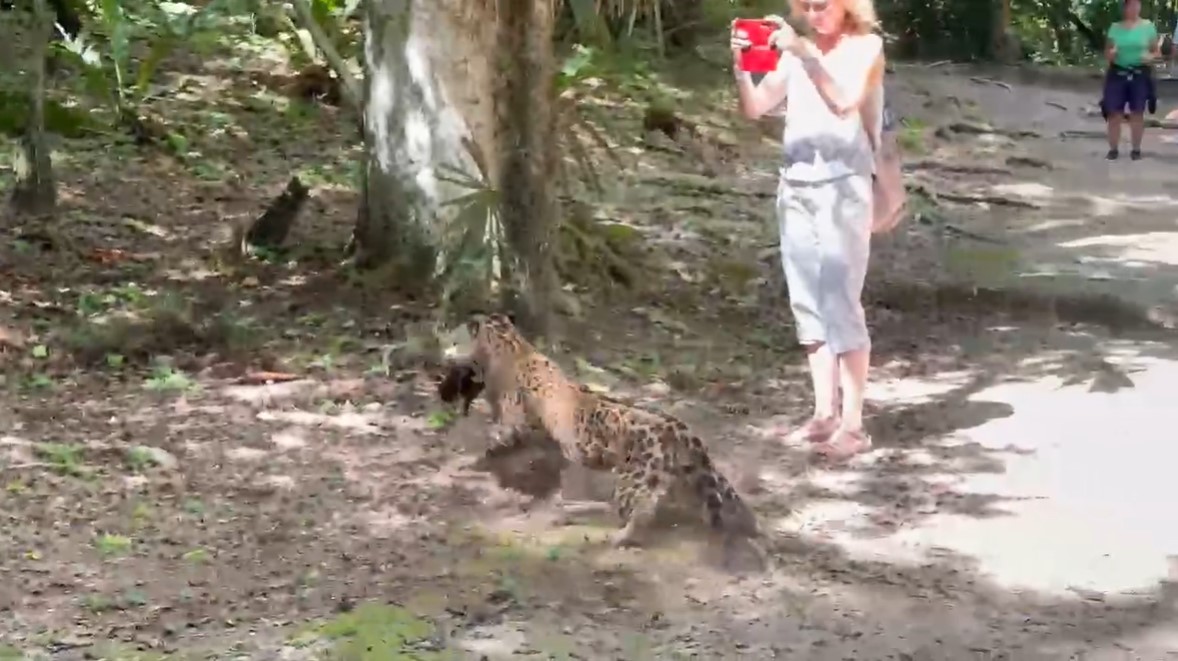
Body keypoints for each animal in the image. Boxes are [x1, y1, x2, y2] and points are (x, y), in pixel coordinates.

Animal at [445, 312, 762, 548]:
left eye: (455, 337)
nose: (444, 352)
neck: (510, 344)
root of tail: (679, 427)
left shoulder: (512, 422)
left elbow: (492, 440)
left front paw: (468, 461)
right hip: (684, 475)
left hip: (634, 478)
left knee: (640, 511)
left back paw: (617, 535)